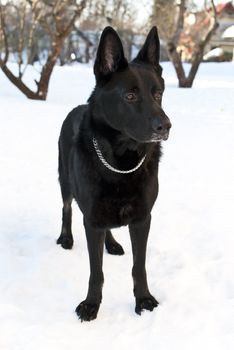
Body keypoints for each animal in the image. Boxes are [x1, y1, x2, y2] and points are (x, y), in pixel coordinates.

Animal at [56, 26, 170, 322]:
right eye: (130, 96)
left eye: (158, 94)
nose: (166, 126)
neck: (120, 162)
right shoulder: (92, 219)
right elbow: (96, 271)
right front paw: (91, 304)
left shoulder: (142, 218)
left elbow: (139, 266)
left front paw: (143, 300)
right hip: (65, 181)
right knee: (66, 208)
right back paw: (66, 238)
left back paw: (112, 244)